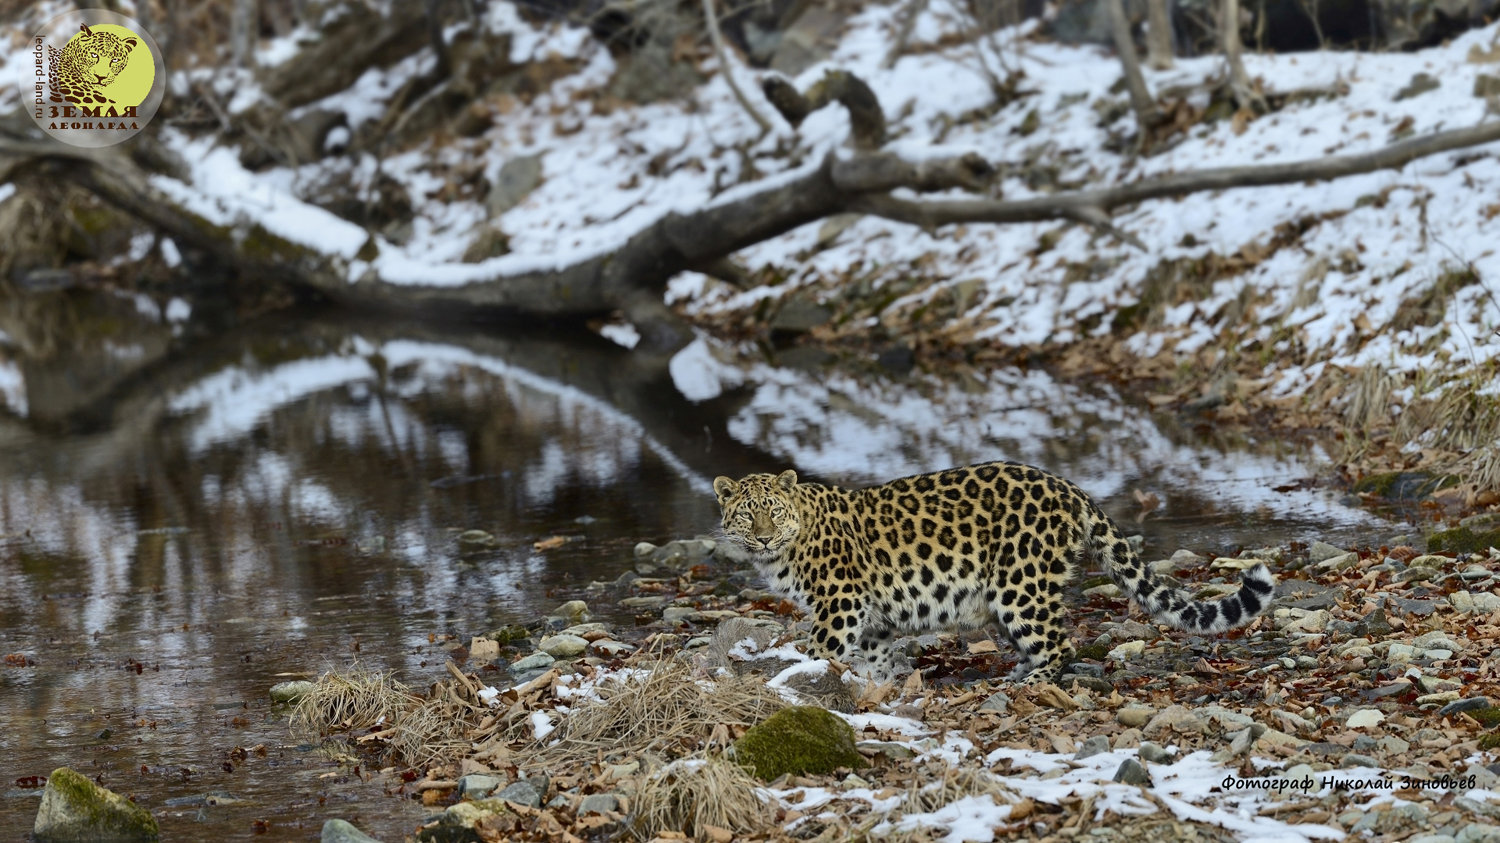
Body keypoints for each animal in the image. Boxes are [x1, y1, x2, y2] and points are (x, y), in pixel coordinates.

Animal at [708, 459, 1272, 684]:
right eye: (747, 515)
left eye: (773, 511)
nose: (763, 535)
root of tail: (1071, 488)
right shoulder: (869, 617)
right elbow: (876, 656)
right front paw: (879, 685)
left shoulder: (839, 604)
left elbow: (819, 648)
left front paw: (789, 679)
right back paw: (1018, 672)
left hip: (1019, 584)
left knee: (1060, 644)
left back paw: (1028, 682)